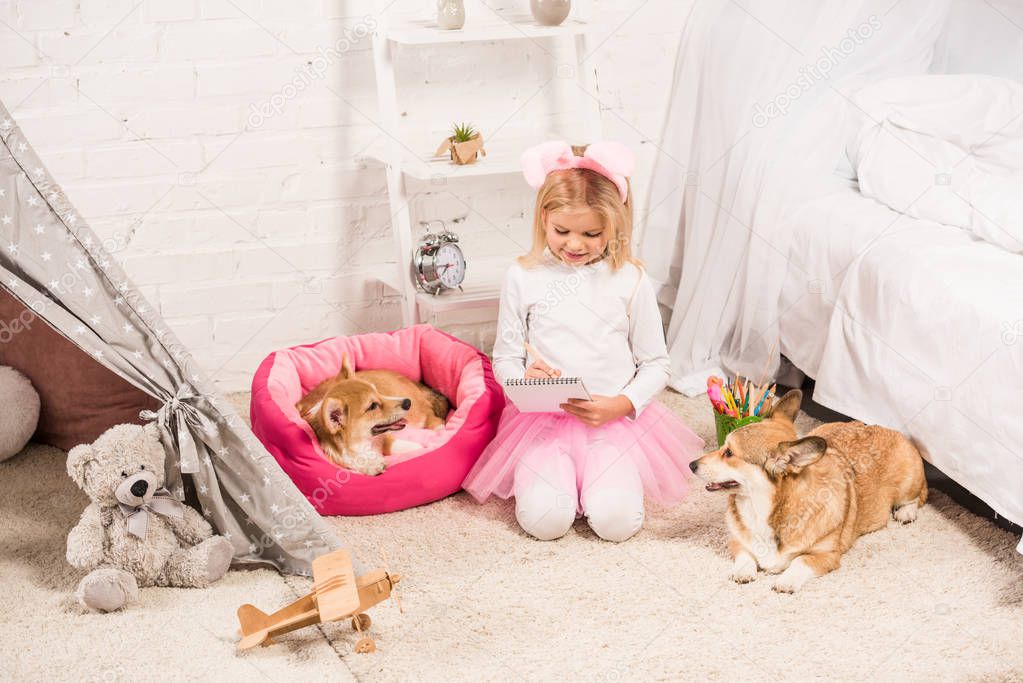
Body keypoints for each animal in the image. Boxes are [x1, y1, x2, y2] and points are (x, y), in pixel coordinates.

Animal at [294, 355, 450, 478]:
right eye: (372, 406)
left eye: (377, 392)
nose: (407, 402)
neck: (361, 444)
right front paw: (371, 466)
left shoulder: (386, 437)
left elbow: (401, 445)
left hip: (417, 416)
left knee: (433, 419)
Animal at [687, 388, 928, 593]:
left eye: (729, 453)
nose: (691, 464)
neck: (762, 508)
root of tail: (892, 430)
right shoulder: (737, 542)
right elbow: (746, 555)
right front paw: (743, 572)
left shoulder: (826, 555)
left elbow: (800, 561)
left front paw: (786, 581)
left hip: (907, 484)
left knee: (916, 498)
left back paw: (906, 512)